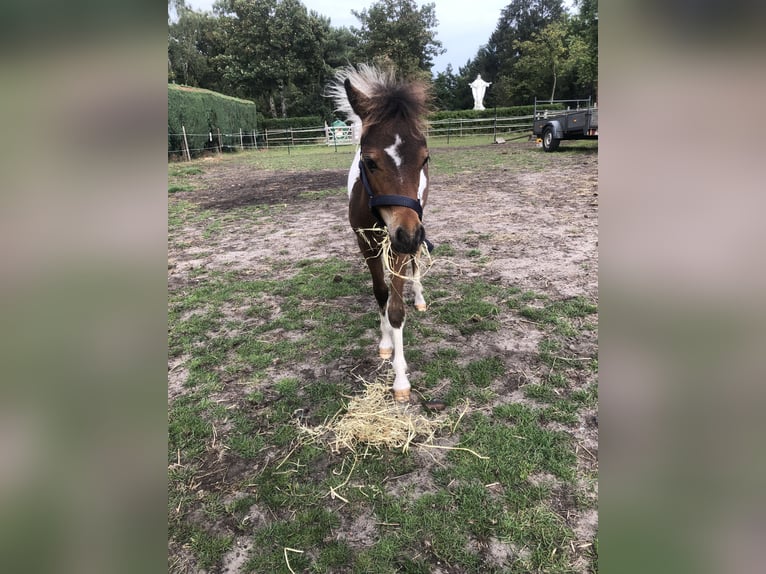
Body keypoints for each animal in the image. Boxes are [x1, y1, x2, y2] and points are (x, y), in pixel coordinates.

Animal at [332, 66, 436, 404]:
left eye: (424, 158)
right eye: (369, 161)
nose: (408, 234)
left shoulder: (401, 242)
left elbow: (396, 307)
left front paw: (401, 379)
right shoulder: (365, 242)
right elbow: (380, 293)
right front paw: (385, 343)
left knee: (416, 263)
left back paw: (420, 298)